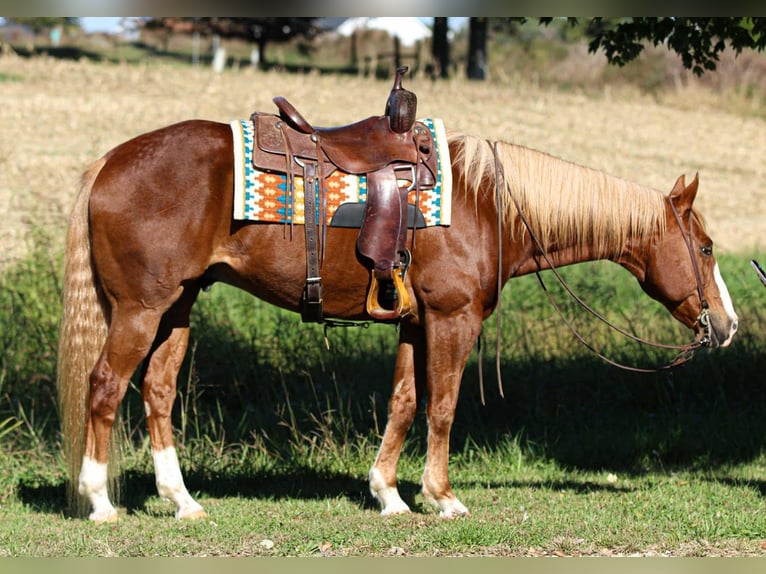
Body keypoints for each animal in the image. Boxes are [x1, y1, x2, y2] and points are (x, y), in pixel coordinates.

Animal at [56, 119, 739, 523]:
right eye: (706, 247)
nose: (728, 324)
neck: (488, 205)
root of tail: (109, 161)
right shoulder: (453, 320)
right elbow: (443, 407)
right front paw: (442, 497)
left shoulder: (416, 322)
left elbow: (405, 403)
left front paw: (387, 494)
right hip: (140, 311)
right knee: (105, 387)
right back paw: (100, 503)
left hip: (177, 308)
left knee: (158, 392)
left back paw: (183, 502)